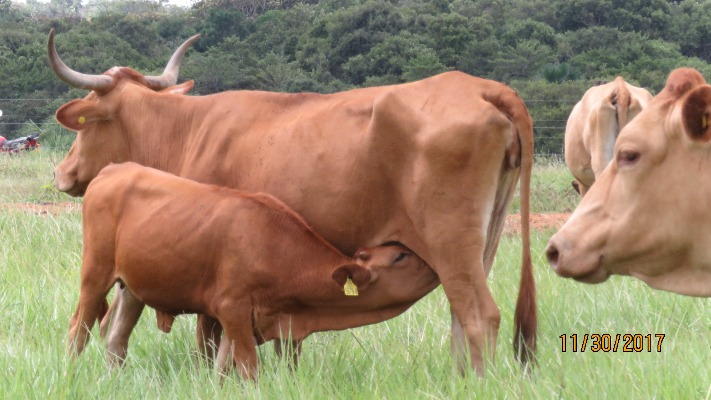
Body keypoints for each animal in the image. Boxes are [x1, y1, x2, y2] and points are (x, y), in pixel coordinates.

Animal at [71, 162, 440, 378]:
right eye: (400, 257)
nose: (436, 266)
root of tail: (115, 167)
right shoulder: (232, 309)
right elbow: (249, 369)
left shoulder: (248, 320)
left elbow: (222, 369)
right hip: (95, 273)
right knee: (78, 331)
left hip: (132, 287)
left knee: (115, 341)